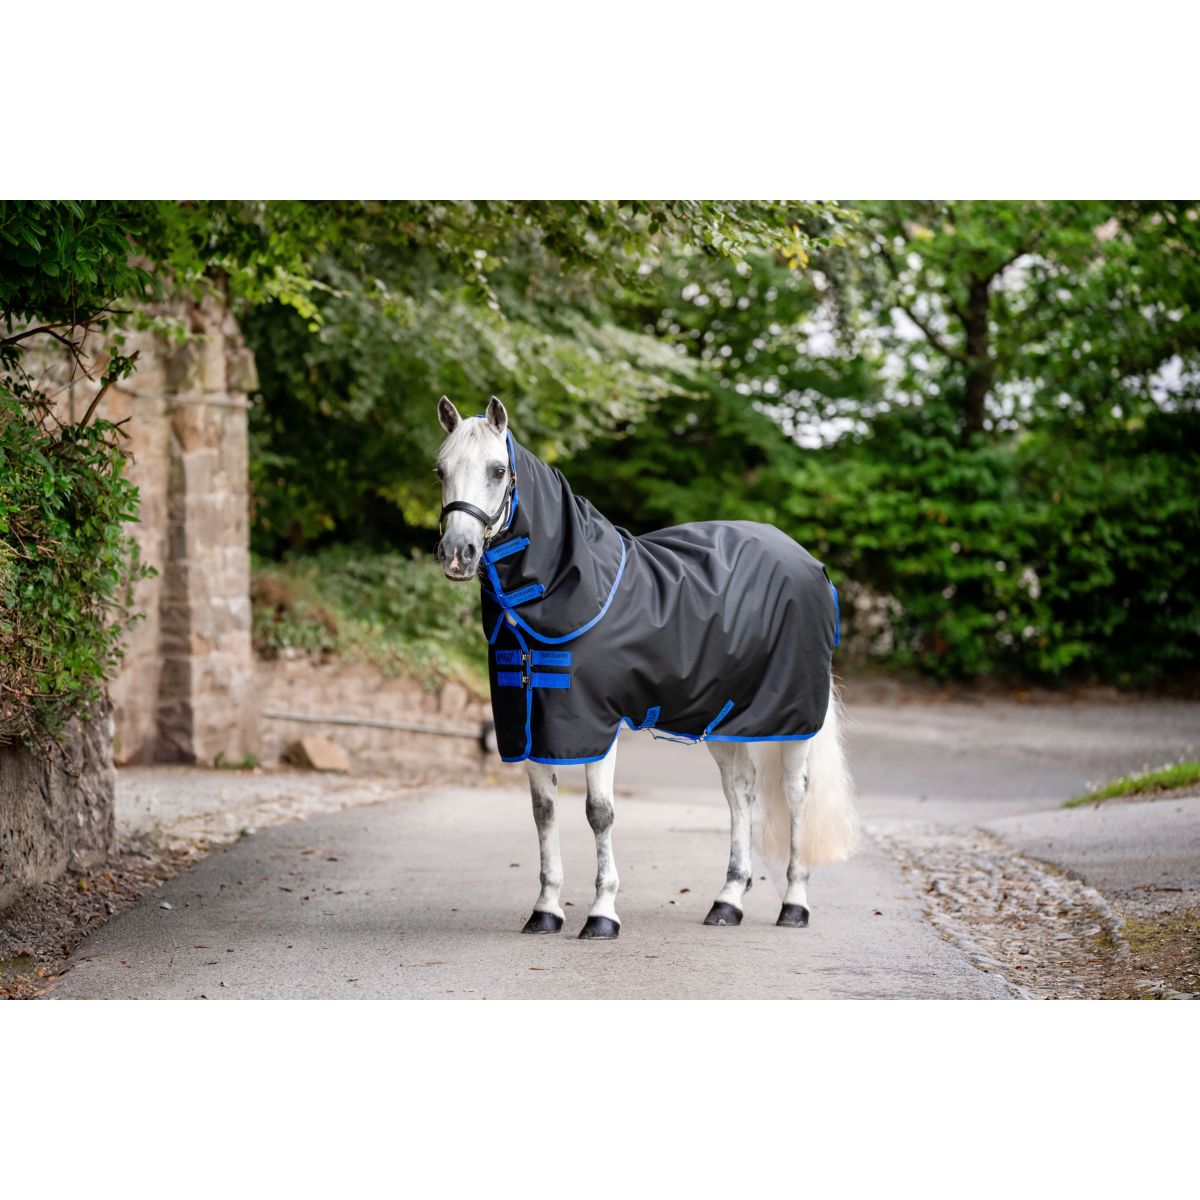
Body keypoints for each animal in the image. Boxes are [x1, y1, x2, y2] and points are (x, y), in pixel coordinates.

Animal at [435, 394, 860, 939]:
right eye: (440, 470)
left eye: (497, 469)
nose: (457, 554)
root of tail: (811, 565)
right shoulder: (530, 723)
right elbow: (543, 812)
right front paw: (546, 910)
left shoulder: (595, 723)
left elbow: (599, 813)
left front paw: (602, 914)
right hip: (722, 716)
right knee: (740, 792)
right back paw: (727, 901)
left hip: (794, 718)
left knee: (797, 794)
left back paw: (794, 904)